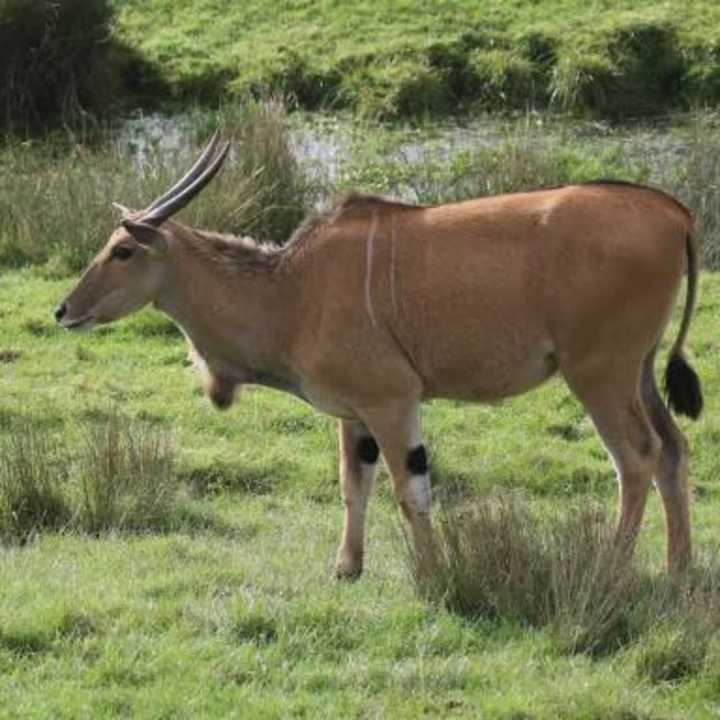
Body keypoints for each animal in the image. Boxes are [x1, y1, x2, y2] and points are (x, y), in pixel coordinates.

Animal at [56, 132, 704, 576]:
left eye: (121, 251)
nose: (64, 310)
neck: (293, 291)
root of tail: (675, 215)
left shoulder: (393, 400)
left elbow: (409, 490)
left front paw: (435, 573)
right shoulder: (355, 413)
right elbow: (354, 483)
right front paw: (347, 568)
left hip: (599, 371)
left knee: (637, 457)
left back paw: (612, 565)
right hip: (639, 370)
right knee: (672, 450)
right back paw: (678, 568)